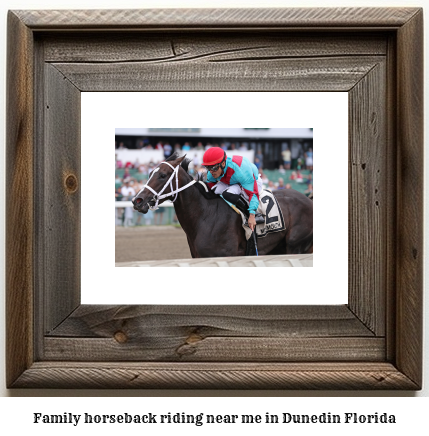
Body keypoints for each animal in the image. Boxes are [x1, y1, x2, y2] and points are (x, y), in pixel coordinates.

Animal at [130, 152, 310, 258]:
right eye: (149, 173)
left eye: (162, 175)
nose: (137, 201)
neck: (205, 216)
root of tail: (308, 199)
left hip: (295, 245)